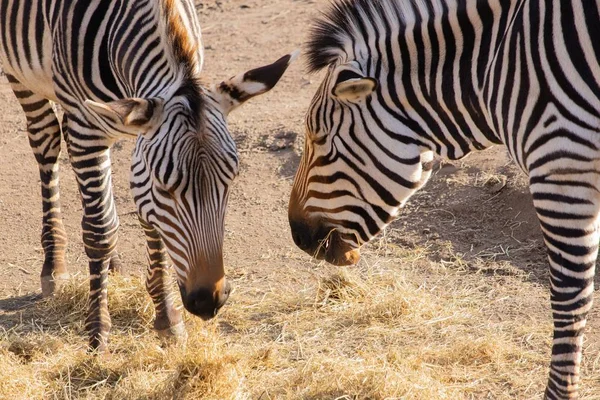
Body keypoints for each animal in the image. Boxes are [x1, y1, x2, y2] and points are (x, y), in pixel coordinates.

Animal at [1, 0, 296, 350]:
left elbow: (145, 221)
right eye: (166, 189)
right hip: (22, 75)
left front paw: (166, 315)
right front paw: (98, 332)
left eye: (230, 181)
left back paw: (111, 264)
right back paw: (54, 264)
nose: (208, 301)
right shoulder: (86, 125)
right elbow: (100, 230)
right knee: (46, 141)